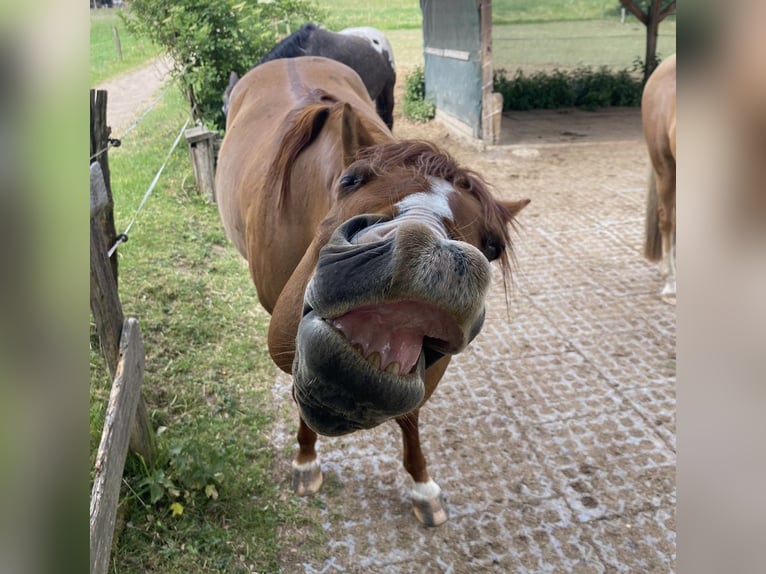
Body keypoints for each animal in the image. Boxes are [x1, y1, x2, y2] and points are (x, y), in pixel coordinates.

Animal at [215, 56, 529, 527]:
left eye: (493, 246)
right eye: (350, 180)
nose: (428, 256)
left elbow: (410, 414)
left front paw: (422, 486)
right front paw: (305, 461)